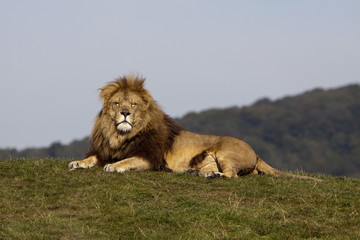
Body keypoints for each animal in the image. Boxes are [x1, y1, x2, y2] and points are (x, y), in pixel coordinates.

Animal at [69, 75, 320, 180]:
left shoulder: (151, 159)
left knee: (232, 176)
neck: (120, 136)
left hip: (226, 151)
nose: (125, 113)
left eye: (133, 104)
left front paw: (113, 166)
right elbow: (92, 158)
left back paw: (213, 175)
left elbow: (127, 161)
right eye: (117, 103)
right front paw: (77, 162)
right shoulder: (105, 150)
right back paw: (198, 172)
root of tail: (256, 153)